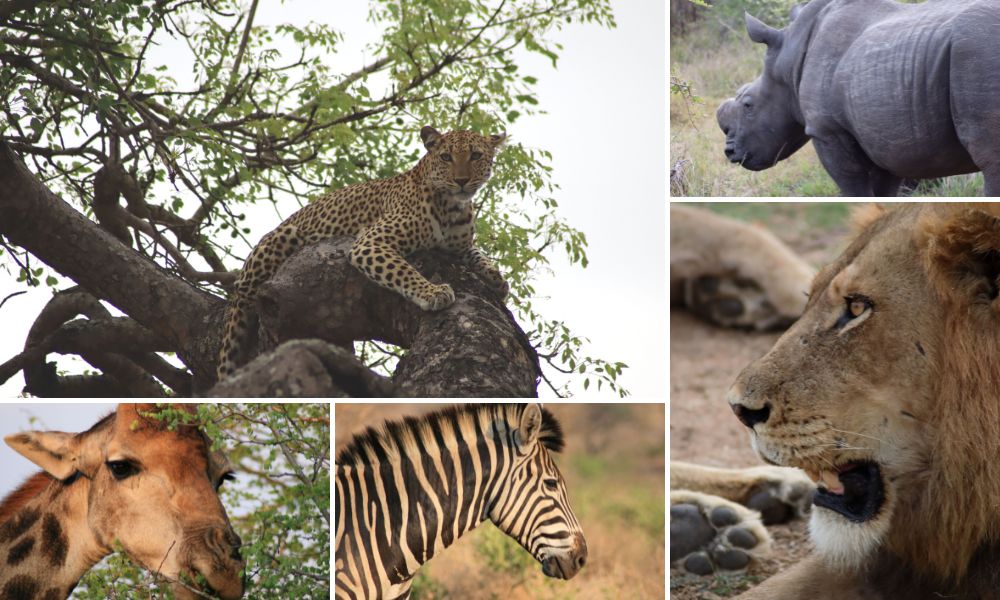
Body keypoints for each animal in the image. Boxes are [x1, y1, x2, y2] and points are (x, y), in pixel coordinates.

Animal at [214, 126, 504, 380]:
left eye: (475, 156)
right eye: (446, 157)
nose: (461, 181)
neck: (453, 207)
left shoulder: (460, 246)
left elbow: (477, 253)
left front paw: (497, 279)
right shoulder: (371, 242)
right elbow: (404, 271)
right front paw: (433, 292)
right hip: (281, 240)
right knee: (243, 299)